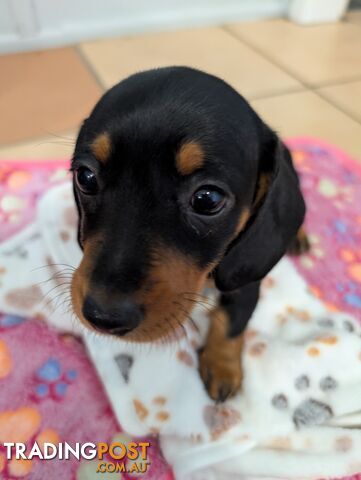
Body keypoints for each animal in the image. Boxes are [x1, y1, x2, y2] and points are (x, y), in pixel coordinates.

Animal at [70, 66, 306, 402]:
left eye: (208, 199)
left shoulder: (244, 278)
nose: (103, 317)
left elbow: (232, 321)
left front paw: (222, 367)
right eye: (86, 177)